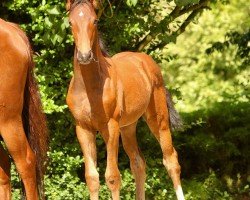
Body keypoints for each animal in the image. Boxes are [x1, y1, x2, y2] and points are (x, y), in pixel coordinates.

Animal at [66, 0, 186, 199]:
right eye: (70, 22)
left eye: (95, 21)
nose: (84, 56)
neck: (89, 88)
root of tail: (146, 61)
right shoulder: (83, 128)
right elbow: (92, 178)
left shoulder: (111, 126)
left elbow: (112, 177)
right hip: (128, 126)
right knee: (138, 163)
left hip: (158, 120)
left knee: (171, 161)